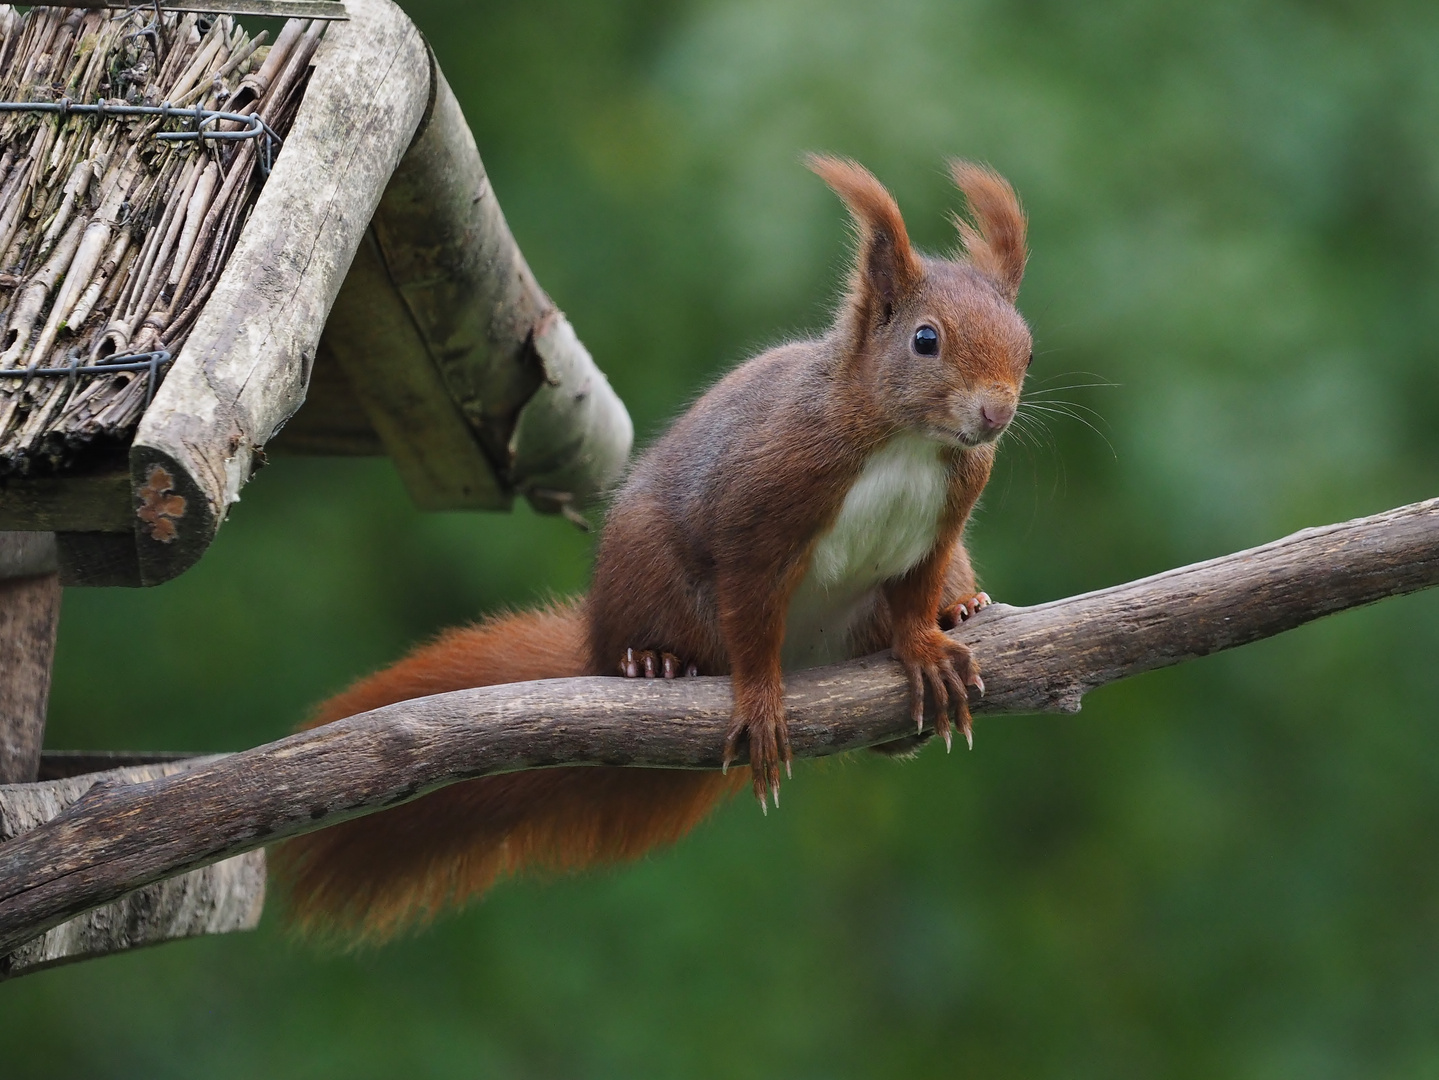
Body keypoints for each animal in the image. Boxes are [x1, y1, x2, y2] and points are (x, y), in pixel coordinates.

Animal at [274, 156, 1030, 943]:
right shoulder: (763, 504)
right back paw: (654, 662)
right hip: (646, 571)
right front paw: (759, 700)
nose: (996, 412)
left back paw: (962, 609)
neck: (906, 441)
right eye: (925, 340)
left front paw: (926, 646)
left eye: (1025, 340)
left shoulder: (944, 526)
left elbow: (914, 592)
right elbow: (750, 605)